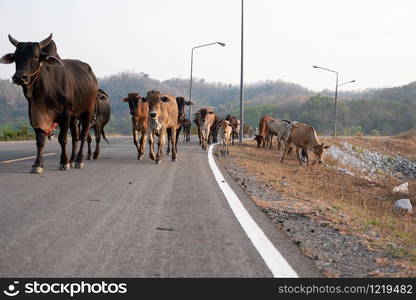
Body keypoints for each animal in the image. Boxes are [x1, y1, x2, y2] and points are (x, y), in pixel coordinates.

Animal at [0, 33, 98, 173]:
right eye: (16, 56)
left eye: (35, 56)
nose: (19, 77)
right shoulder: (35, 114)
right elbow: (40, 141)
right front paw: (38, 165)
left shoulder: (65, 113)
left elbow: (62, 139)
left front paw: (63, 162)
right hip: (74, 116)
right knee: (75, 136)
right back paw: (72, 159)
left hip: (88, 109)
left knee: (84, 134)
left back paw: (79, 160)